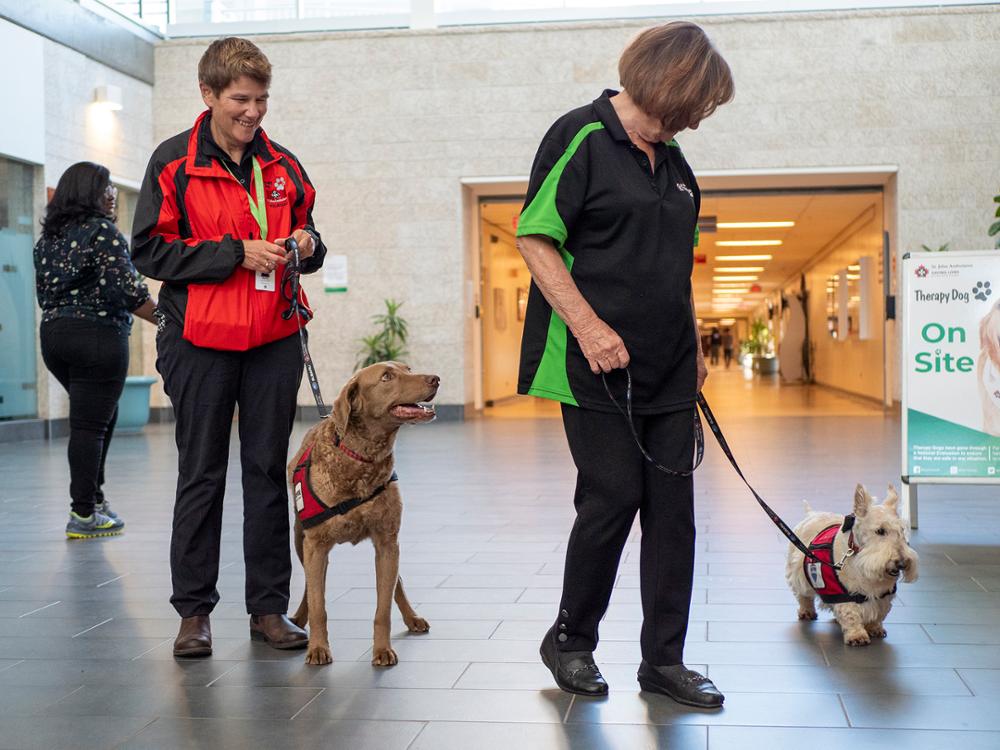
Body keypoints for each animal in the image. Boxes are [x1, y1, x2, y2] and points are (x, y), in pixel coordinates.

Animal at [288, 362, 440, 668]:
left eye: (408, 368)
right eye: (387, 377)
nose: (435, 379)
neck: (360, 457)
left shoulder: (387, 541)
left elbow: (383, 608)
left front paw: (382, 650)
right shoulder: (315, 546)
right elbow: (318, 603)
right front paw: (318, 647)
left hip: (391, 548)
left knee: (397, 583)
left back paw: (412, 617)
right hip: (301, 540)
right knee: (310, 587)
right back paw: (298, 619)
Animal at [784, 484, 916, 648]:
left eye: (902, 530)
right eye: (880, 530)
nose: (902, 563)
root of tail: (811, 514)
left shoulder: (883, 596)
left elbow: (879, 613)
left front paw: (875, 628)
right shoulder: (843, 593)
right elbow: (850, 613)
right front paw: (857, 636)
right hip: (798, 574)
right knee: (804, 596)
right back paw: (807, 612)